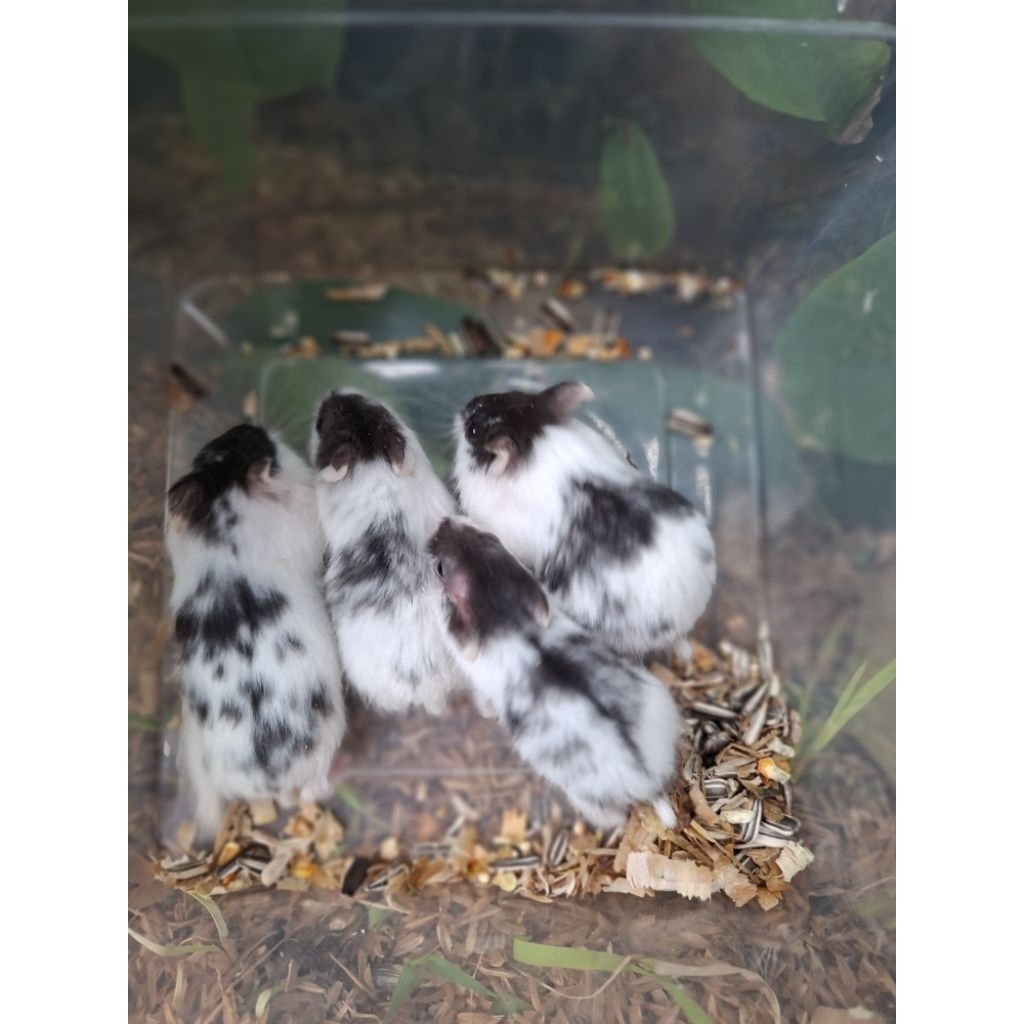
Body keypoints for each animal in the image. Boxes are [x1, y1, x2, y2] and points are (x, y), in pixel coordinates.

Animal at [165, 424, 346, 842]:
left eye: (214, 450)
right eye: (266, 451)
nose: (250, 427)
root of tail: (268, 786)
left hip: (194, 750)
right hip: (325, 745)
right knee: (313, 791)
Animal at [429, 517, 681, 831]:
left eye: (441, 568)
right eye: (490, 537)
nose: (443, 522)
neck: (506, 614)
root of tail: (649, 780)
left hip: (585, 796)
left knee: (612, 818)